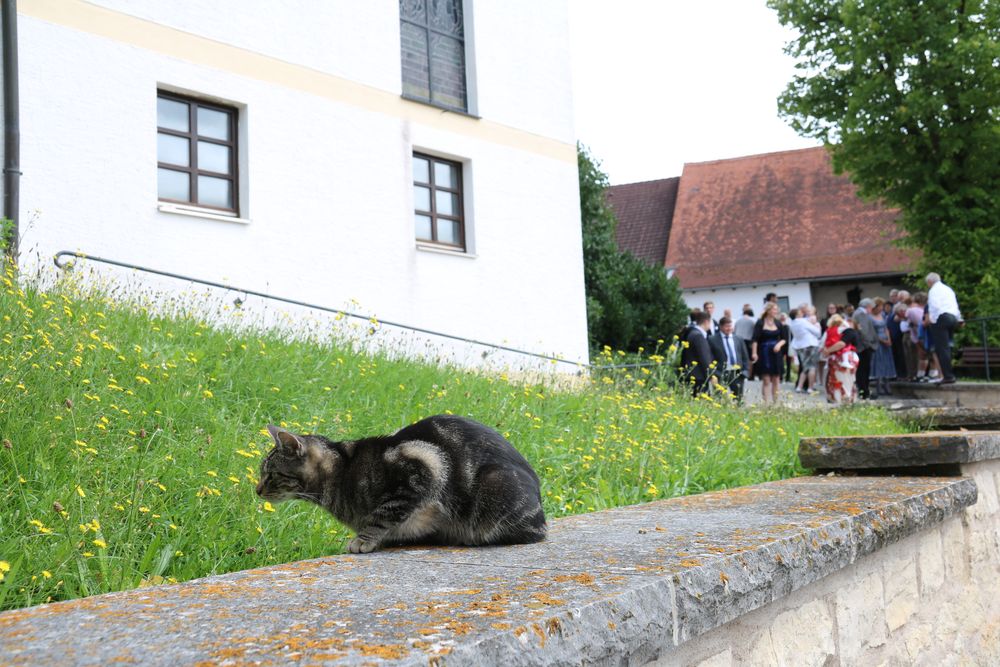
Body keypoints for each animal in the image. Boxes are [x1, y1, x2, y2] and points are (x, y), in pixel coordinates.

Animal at [254, 418, 544, 552]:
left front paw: (363, 540)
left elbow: (382, 516)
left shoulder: (423, 465)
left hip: (495, 489)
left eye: (271, 474)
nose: (257, 490)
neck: (343, 471)